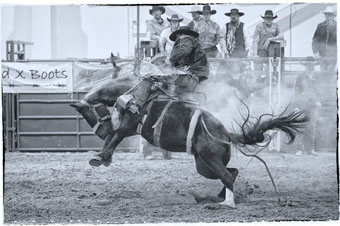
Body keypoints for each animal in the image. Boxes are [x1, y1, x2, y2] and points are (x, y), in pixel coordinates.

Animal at [71, 53, 308, 208]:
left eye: (88, 113)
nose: (100, 131)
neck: (134, 92)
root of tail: (226, 134)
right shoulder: (131, 128)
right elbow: (113, 137)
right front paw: (104, 156)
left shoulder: (130, 123)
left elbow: (115, 137)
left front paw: (100, 157)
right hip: (203, 164)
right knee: (232, 173)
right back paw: (216, 198)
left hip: (209, 158)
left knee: (227, 176)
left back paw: (226, 204)